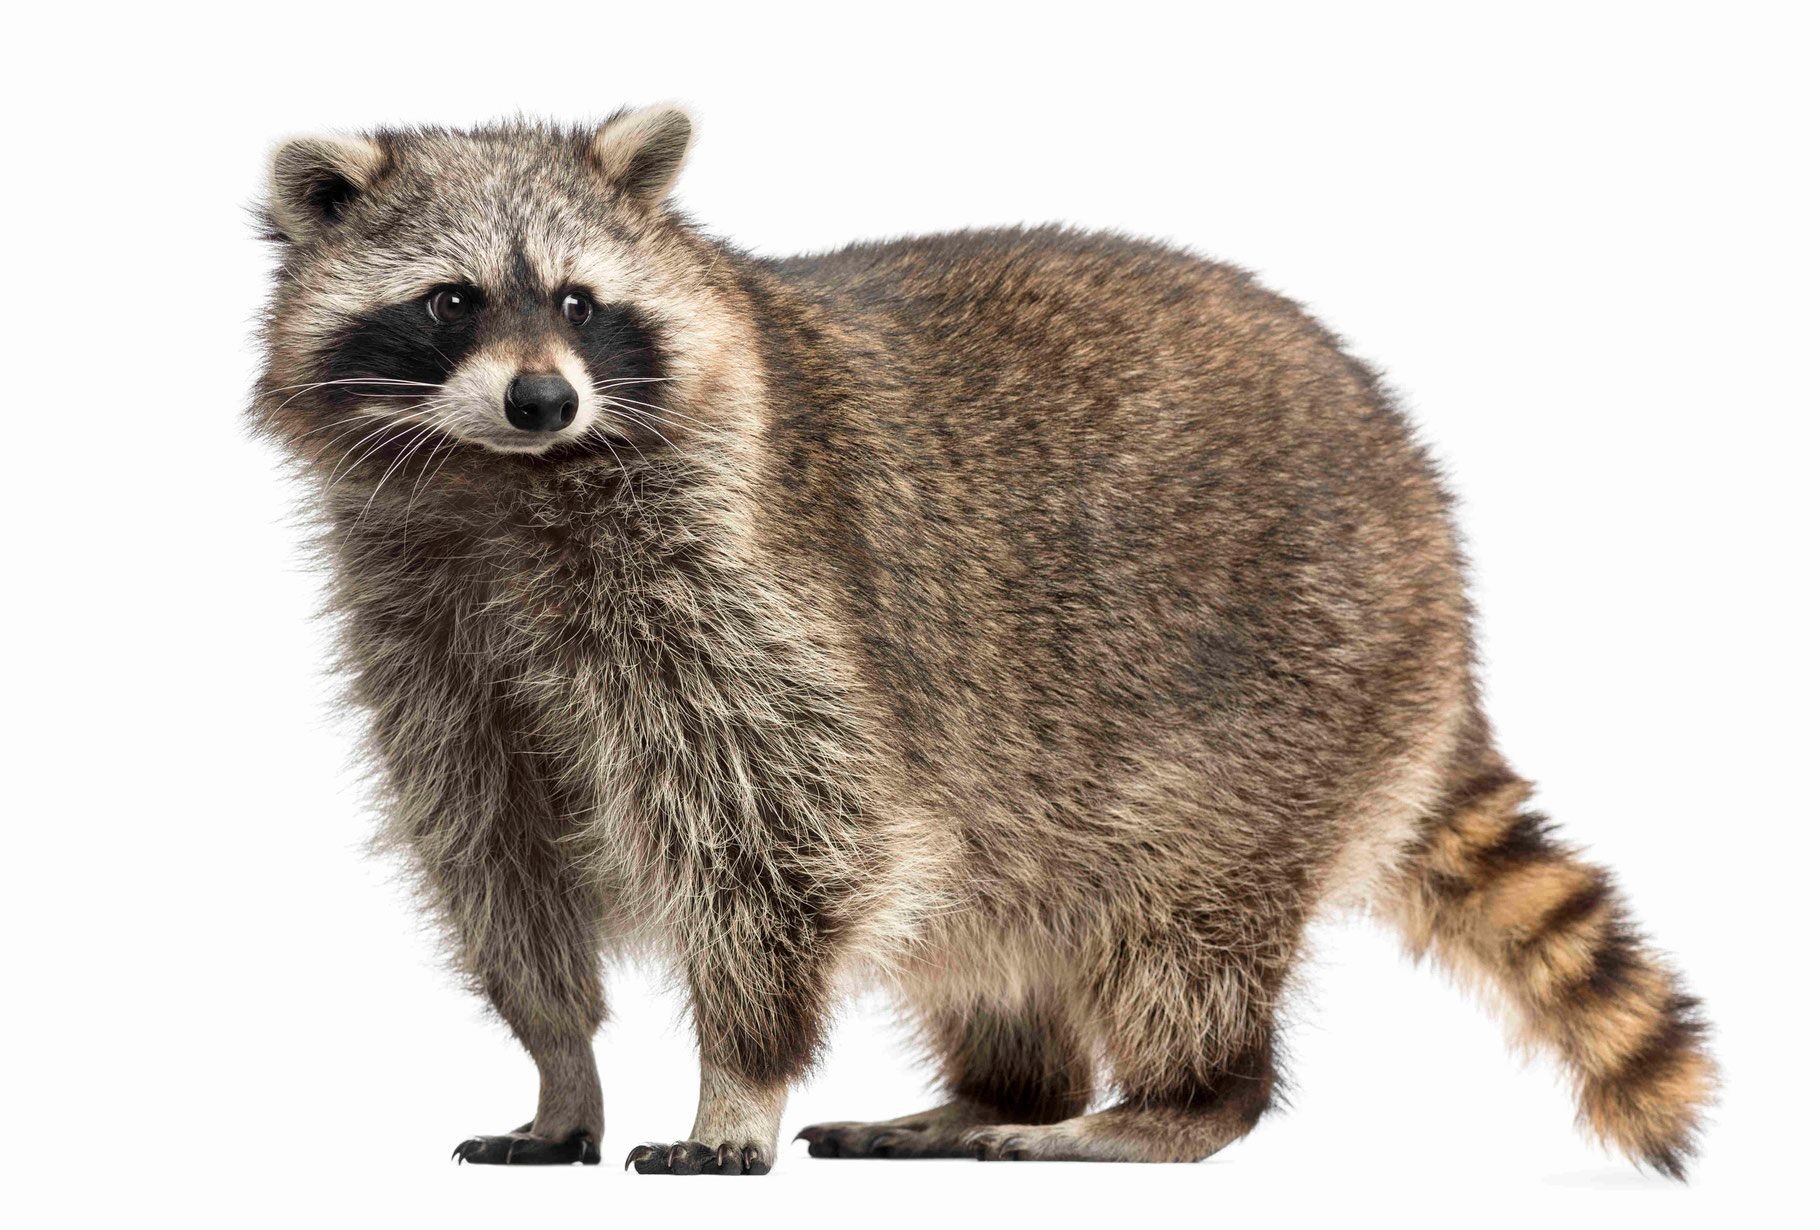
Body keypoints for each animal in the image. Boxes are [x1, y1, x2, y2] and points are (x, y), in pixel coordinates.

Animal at [252, 106, 1716, 1177]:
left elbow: (789, 831)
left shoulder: (752, 585)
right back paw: (1001, 1086)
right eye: (450, 302)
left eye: (577, 300)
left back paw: (1177, 1100)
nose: (543, 399)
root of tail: (1438, 561)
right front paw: (562, 1062)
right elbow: (493, 846)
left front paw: (737, 1077)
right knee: (995, 916)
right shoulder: (425, 622)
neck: (501, 482)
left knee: (1180, 921)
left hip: (1296, 685)